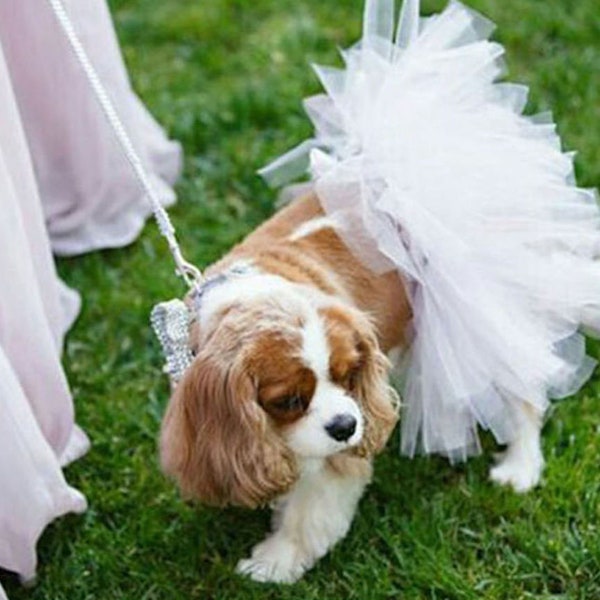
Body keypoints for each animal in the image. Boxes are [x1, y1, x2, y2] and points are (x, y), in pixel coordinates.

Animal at [158, 191, 544, 580]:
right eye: (288, 400)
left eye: (348, 376)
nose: (346, 426)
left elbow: (309, 511)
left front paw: (276, 561)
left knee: (524, 396)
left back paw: (519, 468)